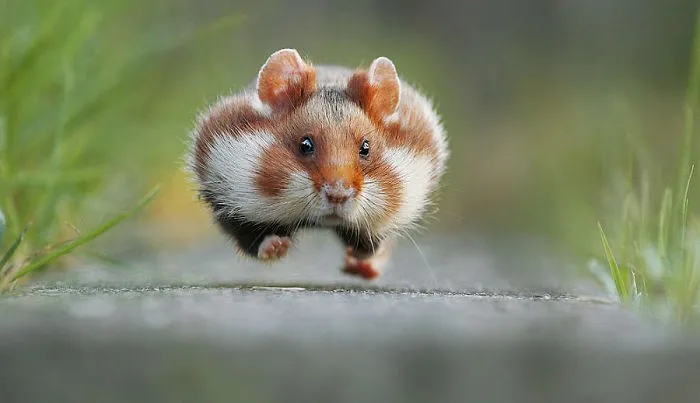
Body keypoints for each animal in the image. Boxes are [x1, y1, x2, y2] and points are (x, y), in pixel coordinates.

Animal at [185, 48, 449, 280]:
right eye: (305, 145)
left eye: (366, 148)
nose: (338, 195)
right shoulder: (230, 201)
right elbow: (253, 239)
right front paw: (278, 247)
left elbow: (371, 243)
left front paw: (357, 254)